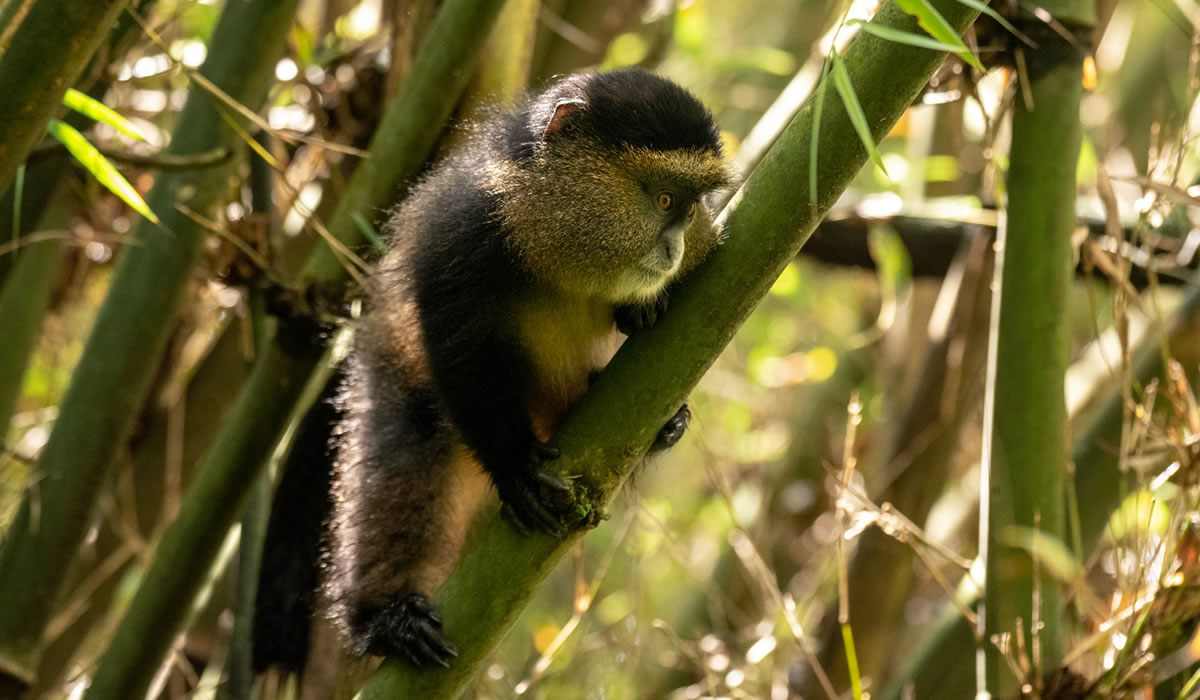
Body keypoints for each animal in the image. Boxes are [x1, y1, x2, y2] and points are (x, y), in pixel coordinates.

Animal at [254, 68, 731, 672]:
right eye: (665, 198)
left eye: (691, 210)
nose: (673, 248)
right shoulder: (463, 235)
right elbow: (460, 350)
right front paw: (514, 467)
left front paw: (645, 330)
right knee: (402, 462)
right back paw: (386, 619)